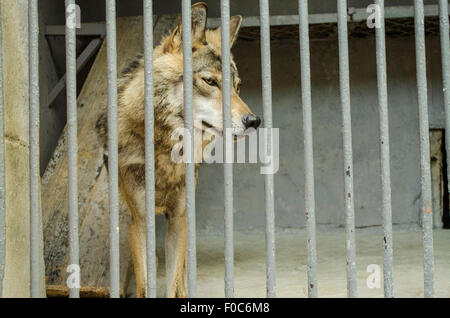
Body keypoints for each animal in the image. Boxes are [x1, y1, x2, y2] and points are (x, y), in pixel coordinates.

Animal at [97, 1, 260, 298]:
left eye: (237, 87)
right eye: (210, 82)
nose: (254, 121)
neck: (164, 152)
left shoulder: (178, 218)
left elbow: (174, 280)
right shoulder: (140, 221)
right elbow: (146, 283)